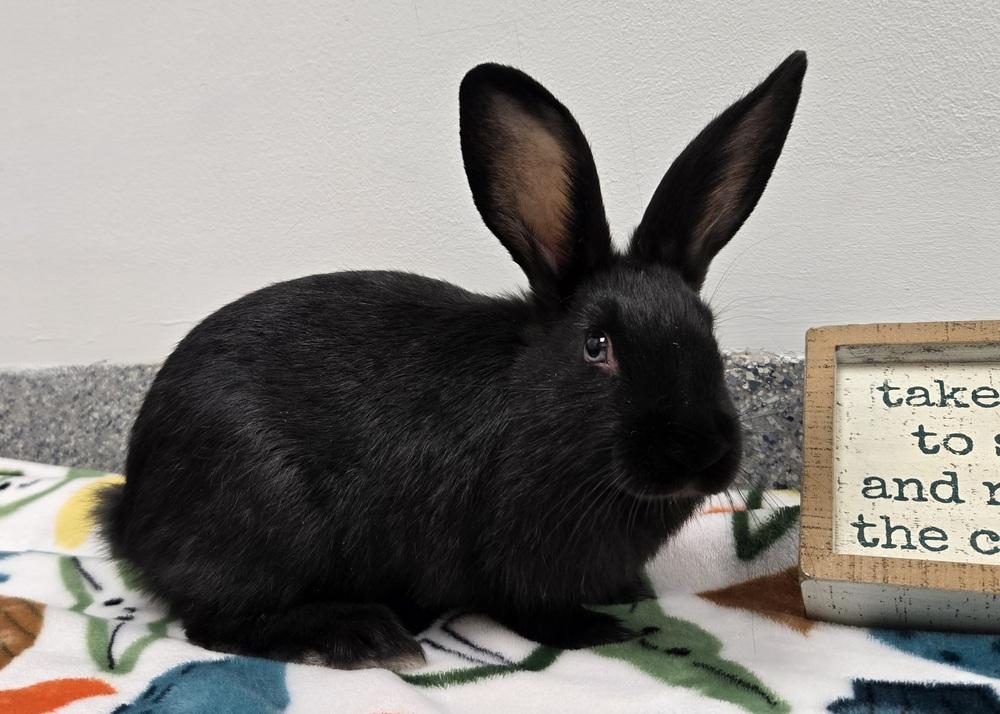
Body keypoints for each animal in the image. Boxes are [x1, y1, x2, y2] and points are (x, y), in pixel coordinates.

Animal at [97, 51, 806, 670]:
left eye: (709, 333)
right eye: (597, 346)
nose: (699, 453)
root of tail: (132, 513)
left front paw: (627, 592)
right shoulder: (515, 557)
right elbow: (535, 611)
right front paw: (599, 629)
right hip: (264, 517)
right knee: (214, 623)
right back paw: (362, 637)